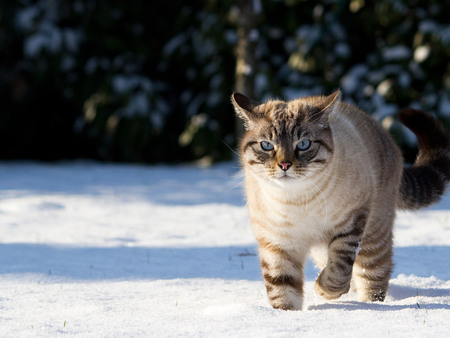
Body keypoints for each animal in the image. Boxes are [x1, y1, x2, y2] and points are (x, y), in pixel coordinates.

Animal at [232, 89, 450, 308]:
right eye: (267, 146)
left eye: (303, 144)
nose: (284, 165)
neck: (296, 201)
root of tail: (385, 136)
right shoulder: (277, 244)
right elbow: (282, 290)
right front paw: (284, 314)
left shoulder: (350, 223)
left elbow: (338, 270)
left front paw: (323, 290)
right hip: (322, 250)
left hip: (372, 239)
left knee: (375, 275)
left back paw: (370, 306)